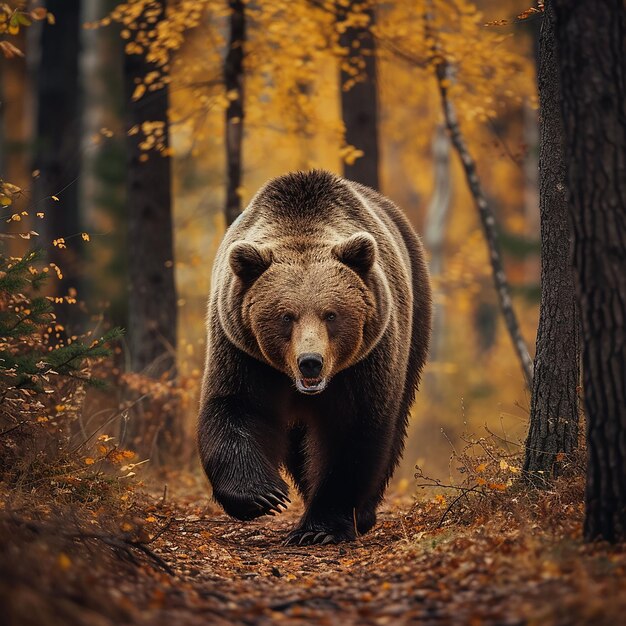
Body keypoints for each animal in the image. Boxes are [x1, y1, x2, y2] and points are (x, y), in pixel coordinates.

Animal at [196, 169, 428, 540]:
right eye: (285, 316)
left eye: (330, 314)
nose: (310, 362)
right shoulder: (242, 351)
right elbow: (236, 407)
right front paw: (264, 495)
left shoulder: (364, 363)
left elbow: (352, 432)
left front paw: (322, 527)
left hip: (415, 314)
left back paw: (363, 513)